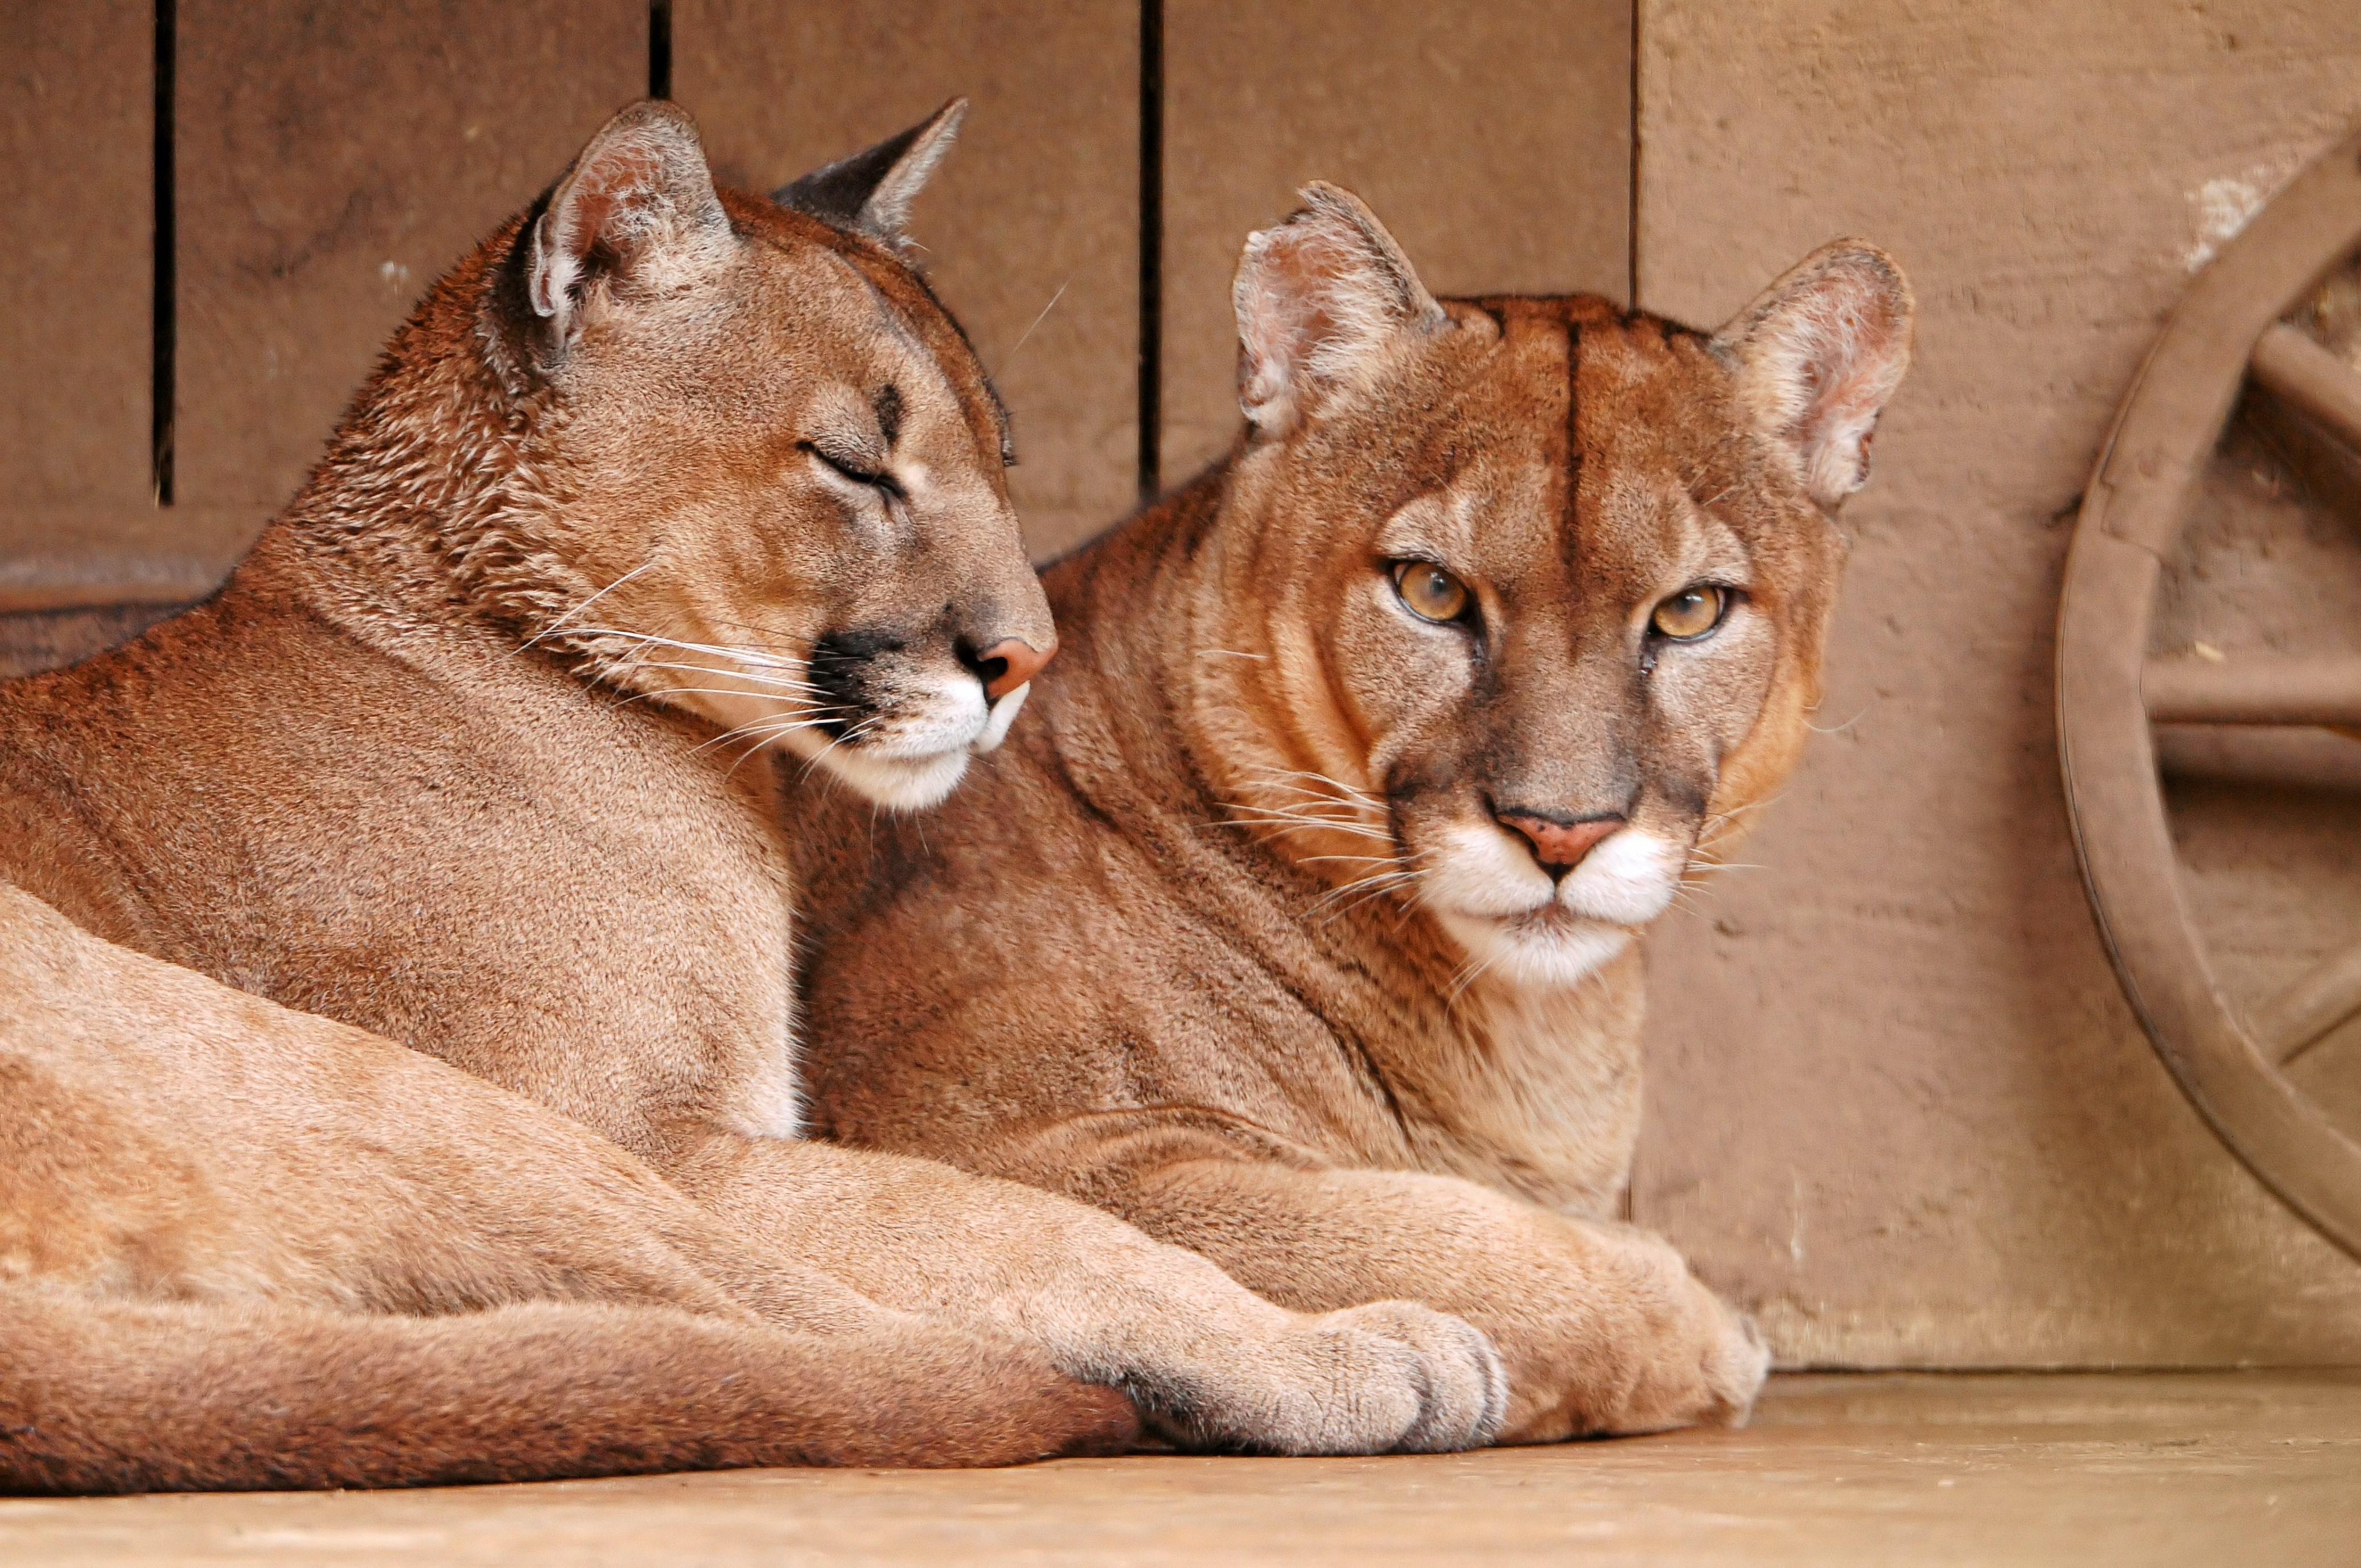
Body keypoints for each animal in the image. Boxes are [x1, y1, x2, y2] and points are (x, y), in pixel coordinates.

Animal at [0, 109, 1506, 1494]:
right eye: (854, 462)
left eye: (1000, 450)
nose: (1027, 658)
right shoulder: (653, 1132)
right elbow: (1001, 1223)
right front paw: (1351, 1348)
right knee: (769, 1332)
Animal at [791, 184, 1915, 1443]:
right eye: (1431, 591)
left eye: (1689, 612)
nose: (1561, 831)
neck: (1533, 1026)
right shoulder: (1000, 1136)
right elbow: (1425, 1235)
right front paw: (1701, 1330)